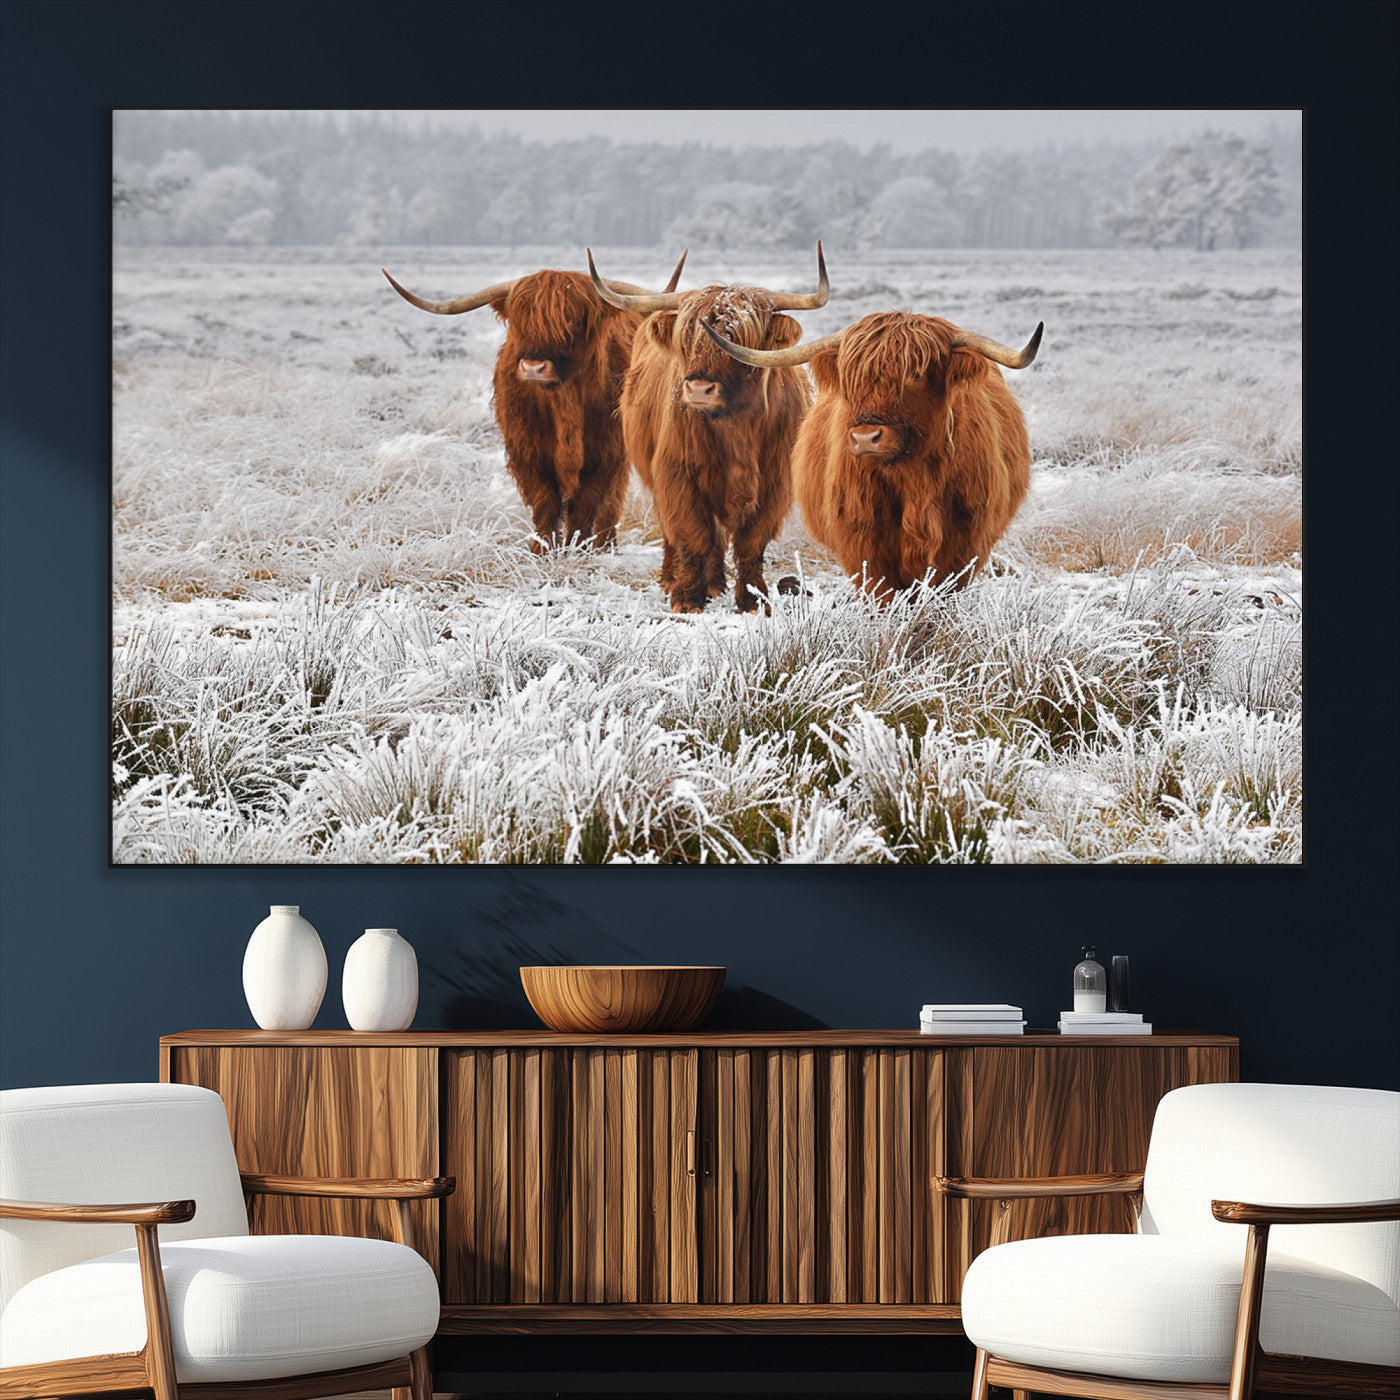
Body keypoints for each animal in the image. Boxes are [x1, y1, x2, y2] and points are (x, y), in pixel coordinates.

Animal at [382, 253, 687, 551]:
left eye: (574, 319)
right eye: (520, 321)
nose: (533, 367)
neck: (564, 403)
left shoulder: (606, 451)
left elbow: (586, 503)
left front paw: (579, 548)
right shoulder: (527, 450)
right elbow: (545, 501)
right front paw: (542, 549)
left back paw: (605, 544)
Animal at [587, 245, 829, 613]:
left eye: (737, 338)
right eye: (686, 338)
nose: (699, 389)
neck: (736, 427)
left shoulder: (775, 484)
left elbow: (750, 543)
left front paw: (753, 599)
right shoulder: (677, 475)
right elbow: (693, 536)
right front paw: (687, 599)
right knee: (680, 533)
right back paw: (675, 580)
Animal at [701, 311, 1043, 599]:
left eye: (915, 374)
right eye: (851, 377)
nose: (866, 437)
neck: (914, 480)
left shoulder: (965, 543)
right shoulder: (863, 544)